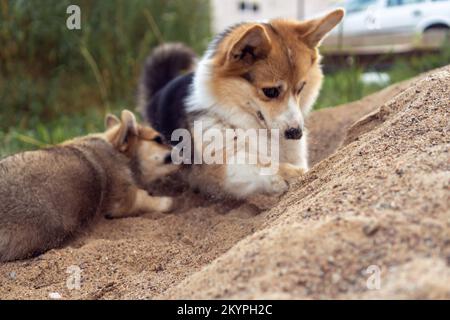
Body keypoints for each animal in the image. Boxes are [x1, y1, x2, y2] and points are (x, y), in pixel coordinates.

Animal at [139, 9, 342, 198]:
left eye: (301, 88)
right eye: (270, 91)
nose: (296, 133)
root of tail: (160, 89)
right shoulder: (221, 166)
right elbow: (256, 164)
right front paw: (289, 174)